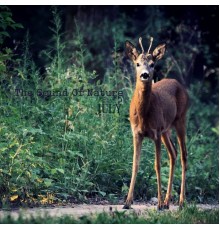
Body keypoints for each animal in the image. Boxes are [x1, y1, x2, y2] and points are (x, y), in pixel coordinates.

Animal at [124, 37, 189, 210]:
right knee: (173, 153)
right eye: (137, 64)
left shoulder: (156, 132)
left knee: (183, 156)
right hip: (167, 129)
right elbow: (135, 164)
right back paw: (167, 201)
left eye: (152, 64)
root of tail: (179, 84)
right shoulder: (136, 133)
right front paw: (127, 202)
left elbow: (157, 165)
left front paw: (158, 203)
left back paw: (180, 201)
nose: (145, 75)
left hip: (180, 120)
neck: (143, 115)